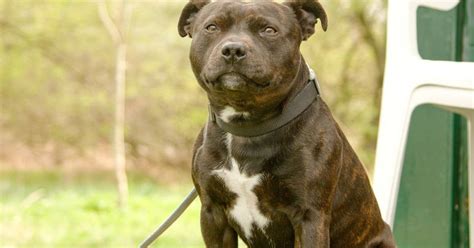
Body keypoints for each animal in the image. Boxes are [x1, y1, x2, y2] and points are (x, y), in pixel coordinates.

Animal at [178, 0, 396, 247]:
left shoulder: (309, 216)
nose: (233, 49)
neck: (247, 126)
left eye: (269, 30)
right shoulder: (213, 214)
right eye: (212, 27)